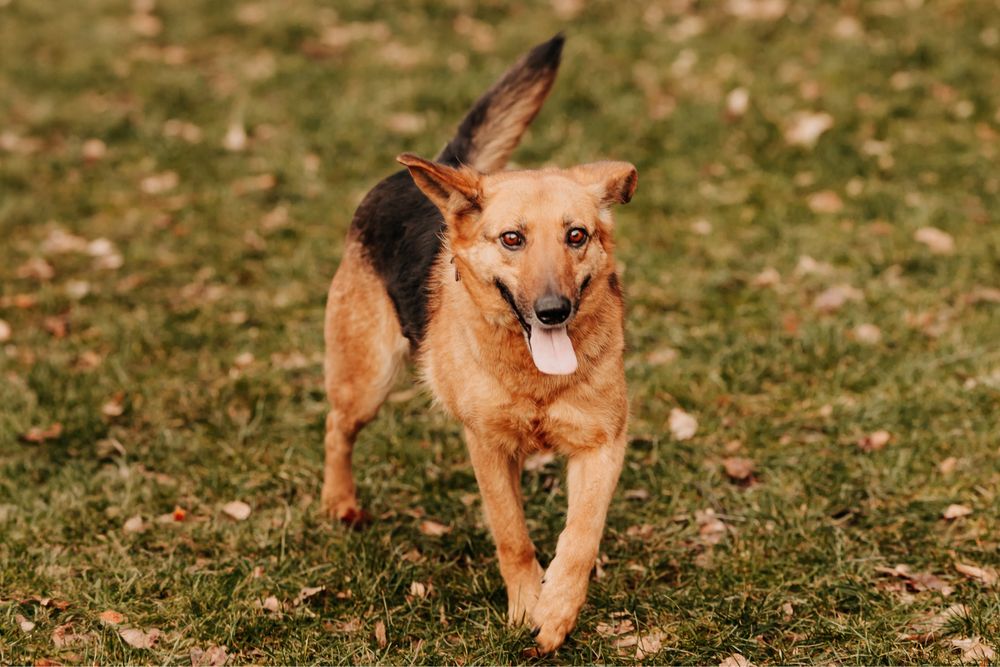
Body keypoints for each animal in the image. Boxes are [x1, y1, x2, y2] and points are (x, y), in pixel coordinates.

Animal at [320, 35, 632, 652]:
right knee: (336, 428)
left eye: (576, 236)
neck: (532, 376)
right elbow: (512, 534)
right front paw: (526, 604)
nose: (553, 310)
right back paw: (339, 501)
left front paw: (556, 609)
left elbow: (580, 539)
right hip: (366, 379)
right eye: (512, 239)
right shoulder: (488, 446)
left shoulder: (602, 444)